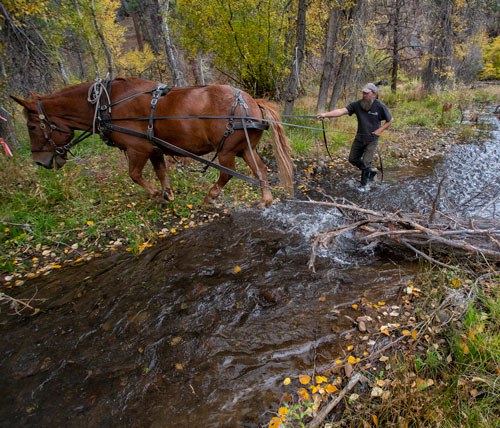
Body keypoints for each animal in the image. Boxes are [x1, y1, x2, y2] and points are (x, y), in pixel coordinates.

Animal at [10, 77, 292, 207]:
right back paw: (266, 199)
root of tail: (251, 101)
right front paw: (167, 193)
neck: (107, 104)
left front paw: (157, 195)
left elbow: (134, 175)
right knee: (260, 170)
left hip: (227, 149)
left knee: (227, 173)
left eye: (31, 126)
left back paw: (210, 196)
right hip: (244, 147)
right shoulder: (155, 148)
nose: (40, 162)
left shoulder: (139, 148)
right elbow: (161, 172)